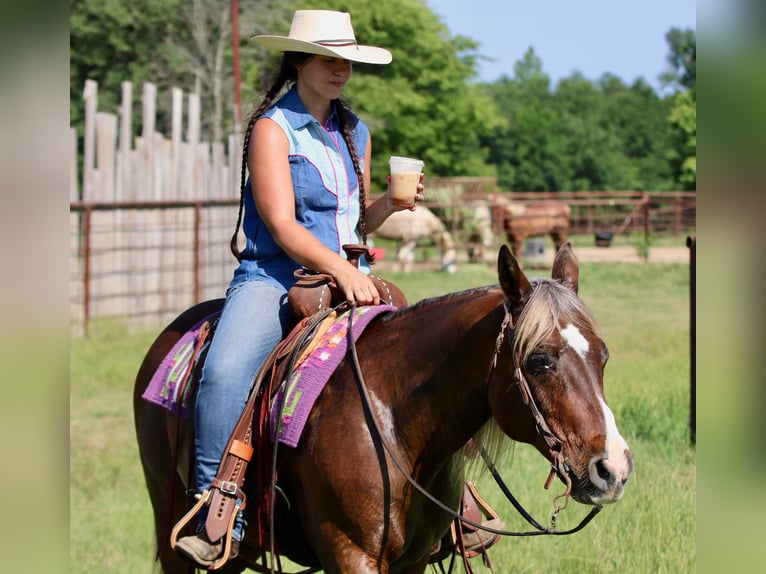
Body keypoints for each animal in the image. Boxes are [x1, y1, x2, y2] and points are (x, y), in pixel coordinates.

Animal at [133, 243, 633, 574]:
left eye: (604, 356)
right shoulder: (350, 556)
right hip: (167, 520)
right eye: (540, 360)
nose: (613, 469)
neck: (394, 423)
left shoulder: (414, 561)